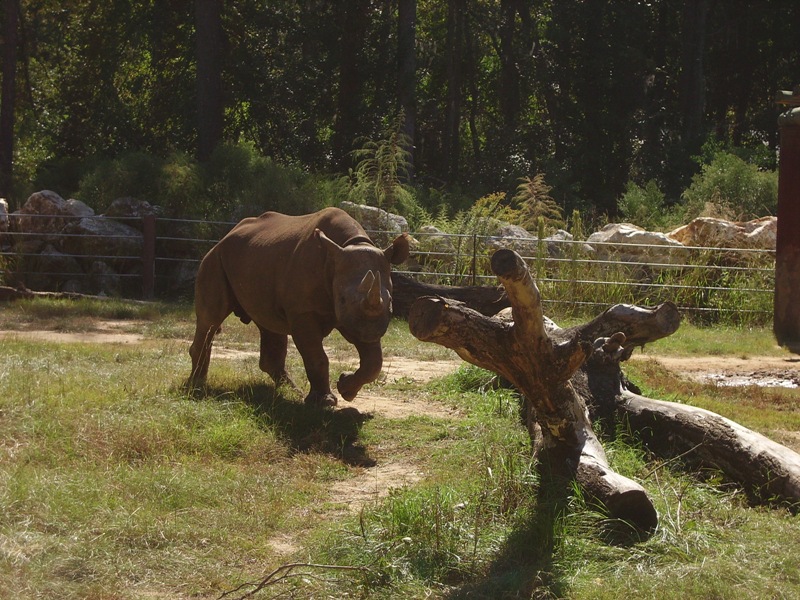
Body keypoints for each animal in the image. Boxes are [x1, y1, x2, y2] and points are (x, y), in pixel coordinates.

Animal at [189, 207, 410, 406]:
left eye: (391, 301)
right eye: (342, 300)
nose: (370, 332)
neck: (347, 246)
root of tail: (226, 236)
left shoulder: (359, 317)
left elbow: (374, 362)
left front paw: (346, 388)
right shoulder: (304, 312)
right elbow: (316, 356)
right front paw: (324, 402)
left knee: (269, 325)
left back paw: (293, 391)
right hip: (215, 258)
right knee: (210, 319)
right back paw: (197, 387)